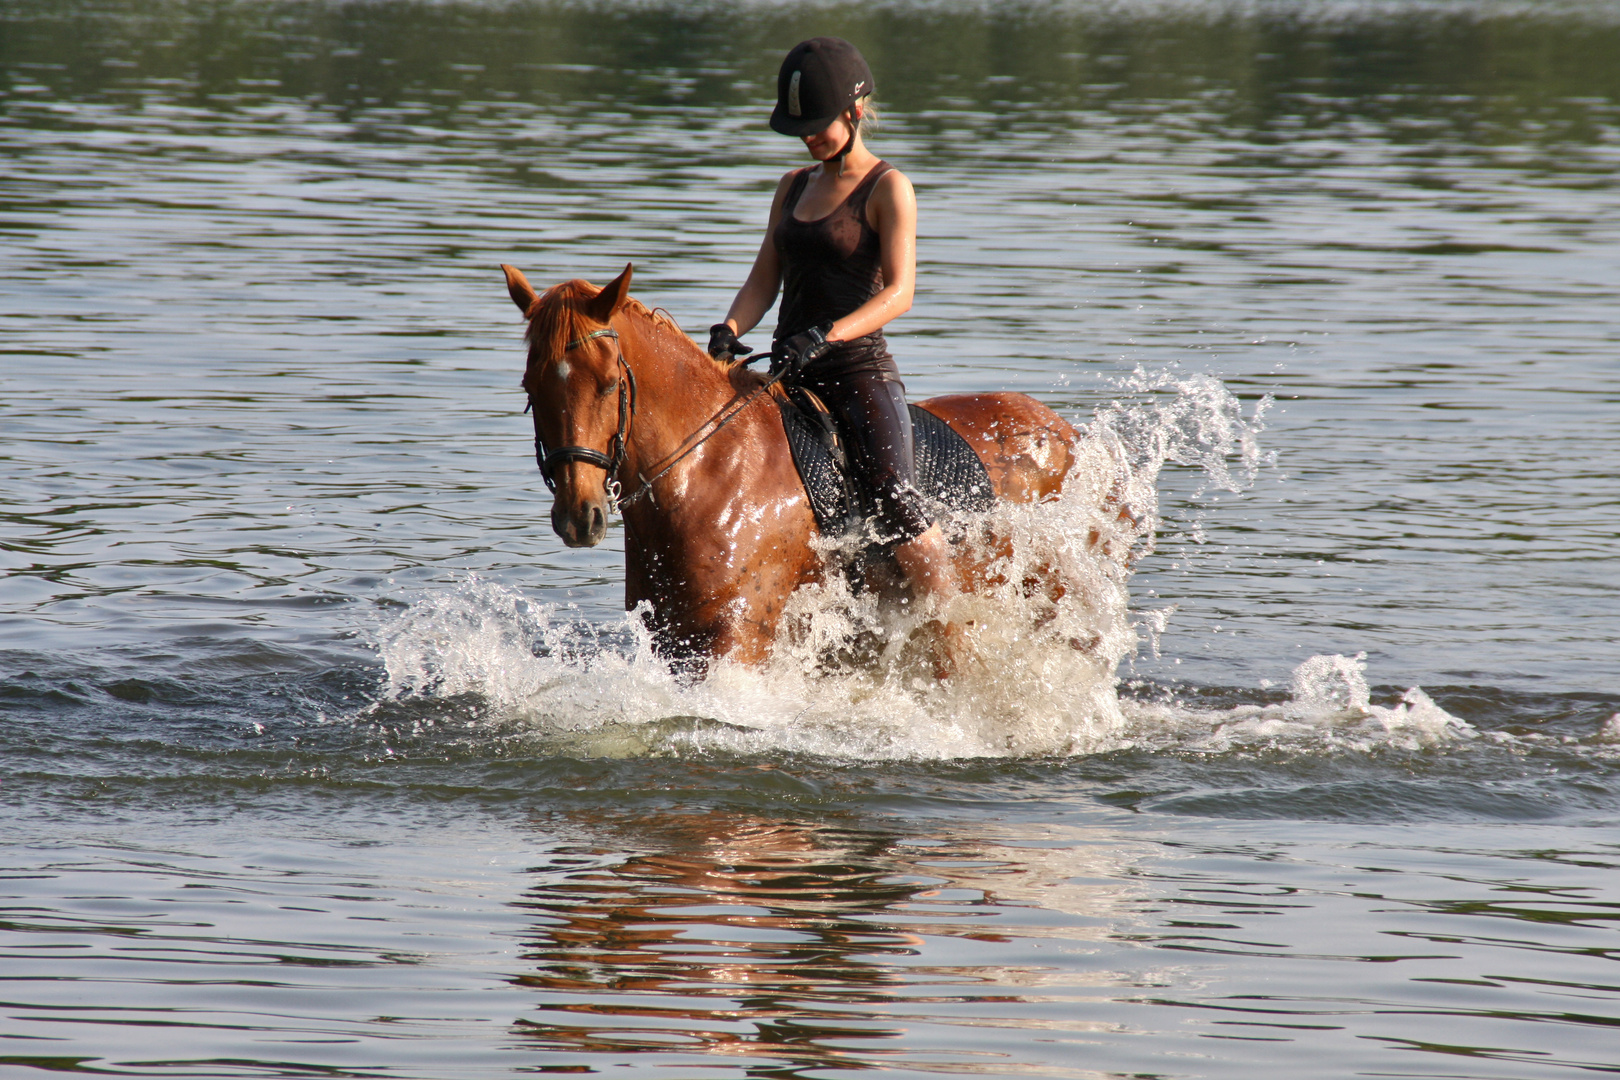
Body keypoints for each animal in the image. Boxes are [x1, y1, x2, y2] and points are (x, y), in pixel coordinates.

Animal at [505, 263, 1114, 667]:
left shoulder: (735, 640)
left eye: (609, 384)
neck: (708, 471)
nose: (578, 516)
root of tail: (1064, 432)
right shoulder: (675, 641)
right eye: (531, 388)